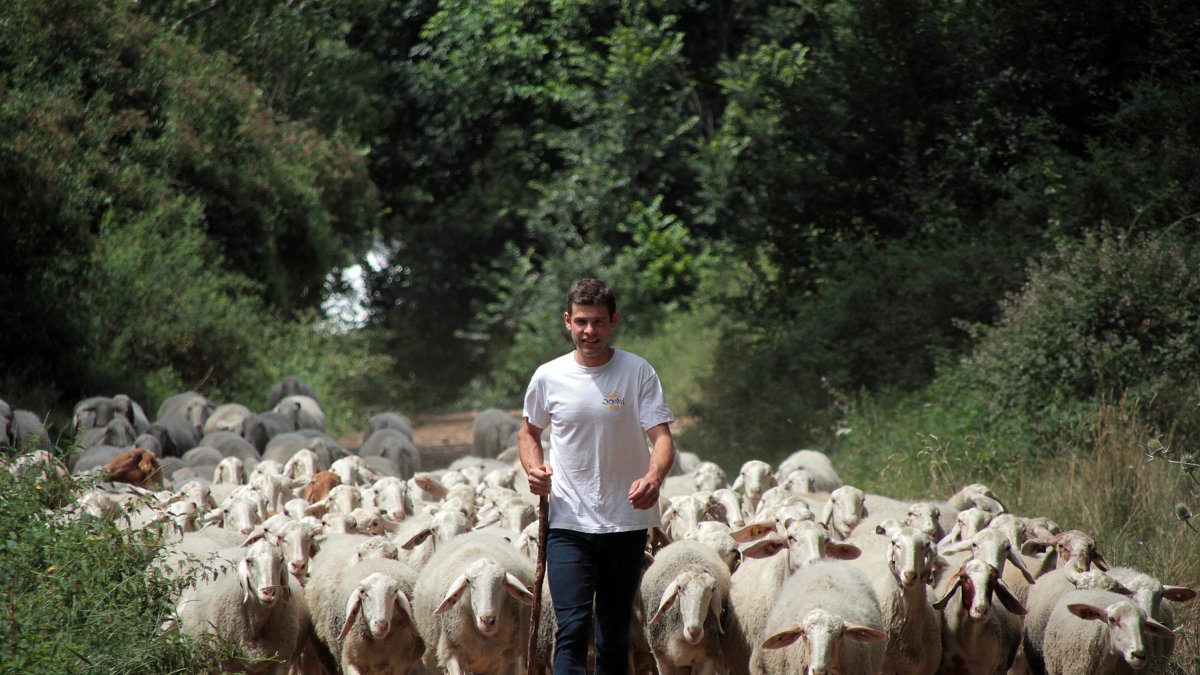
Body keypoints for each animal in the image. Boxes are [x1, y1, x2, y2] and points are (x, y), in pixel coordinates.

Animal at [171, 535, 307, 672]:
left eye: (280, 560)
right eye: (249, 561)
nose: (268, 592)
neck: (257, 620)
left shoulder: (282, 660)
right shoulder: (226, 660)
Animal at [412, 530, 535, 672]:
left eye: (502, 582)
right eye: (469, 582)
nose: (487, 621)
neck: (483, 636)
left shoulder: (505, 659)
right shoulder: (451, 652)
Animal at [638, 535, 729, 672]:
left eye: (712, 590)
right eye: (679, 588)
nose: (694, 631)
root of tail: (685, 541)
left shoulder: (707, 658)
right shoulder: (662, 660)